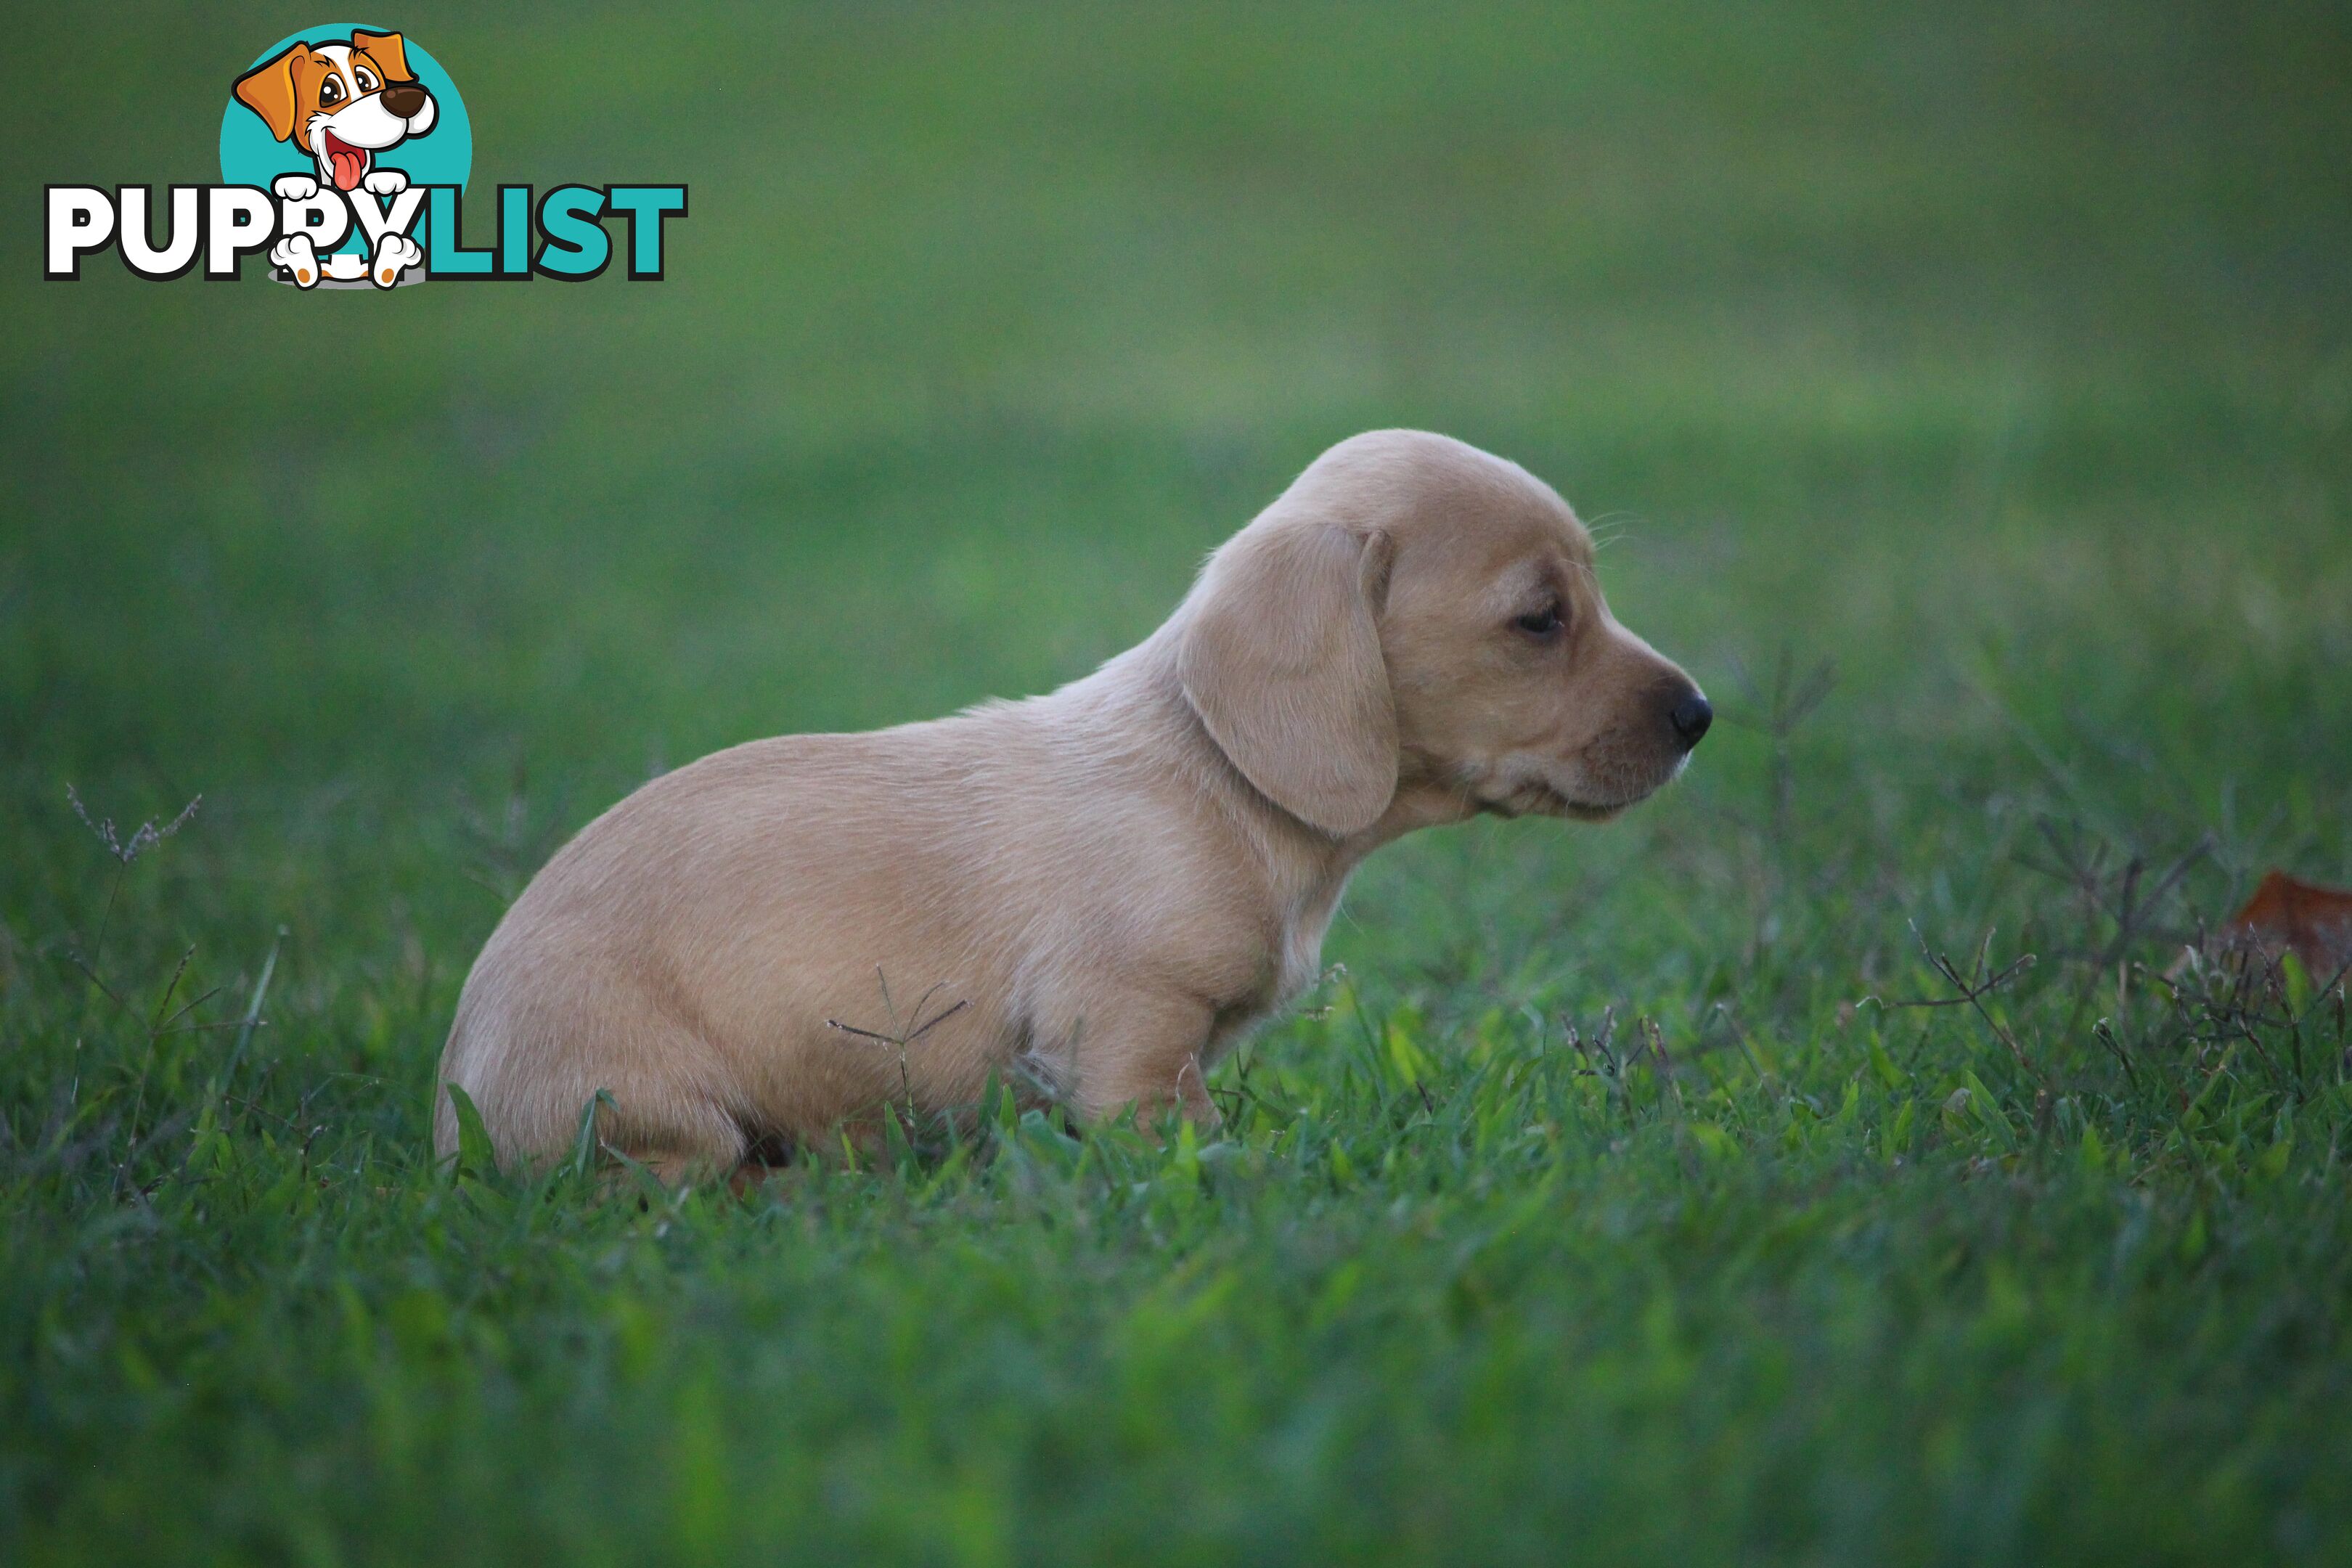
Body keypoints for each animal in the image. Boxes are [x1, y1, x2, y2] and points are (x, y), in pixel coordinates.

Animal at [437, 430, 1712, 1175]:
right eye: (1539, 619)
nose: (1703, 714)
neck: (1218, 781)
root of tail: (452, 1118)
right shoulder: (1128, 1032)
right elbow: (1188, 1137)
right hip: (662, 1115)